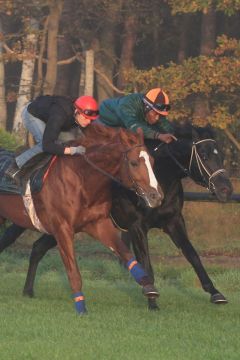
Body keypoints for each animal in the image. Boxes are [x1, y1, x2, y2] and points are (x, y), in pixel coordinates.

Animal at [0, 124, 163, 316]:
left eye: (152, 161)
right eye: (134, 163)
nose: (156, 196)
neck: (81, 179)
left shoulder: (98, 224)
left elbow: (127, 255)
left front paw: (149, 287)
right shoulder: (62, 228)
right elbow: (74, 272)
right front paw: (81, 308)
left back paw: (28, 290)